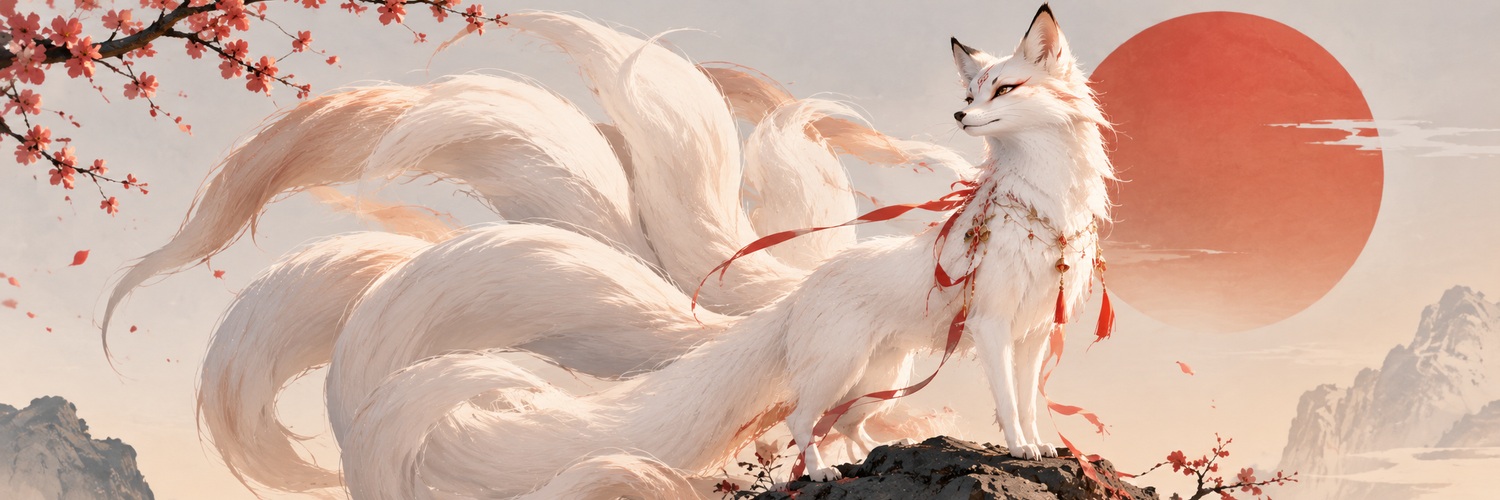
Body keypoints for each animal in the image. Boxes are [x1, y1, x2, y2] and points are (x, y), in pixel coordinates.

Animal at [105, 4, 1111, 498]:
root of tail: (796, 295)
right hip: (848, 364)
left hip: (882, 368)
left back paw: (857, 462)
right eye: (974, 92)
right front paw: (1026, 450)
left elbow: (1024, 405)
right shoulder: (995, 325)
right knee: (801, 423)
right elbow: (1008, 406)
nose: (958, 120)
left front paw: (1039, 449)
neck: (1041, 212)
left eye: (1003, 90)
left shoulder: (1032, 333)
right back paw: (827, 473)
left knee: (839, 423)